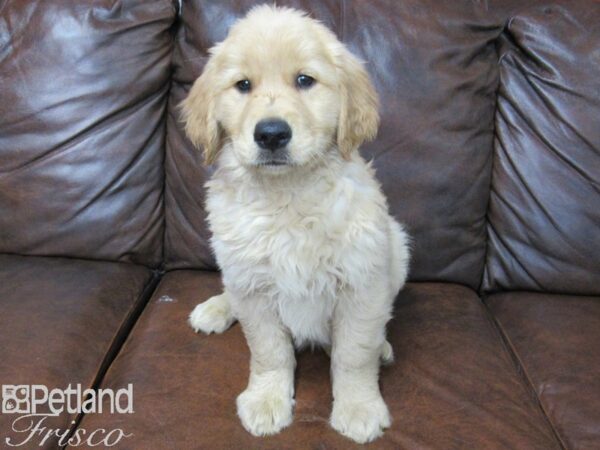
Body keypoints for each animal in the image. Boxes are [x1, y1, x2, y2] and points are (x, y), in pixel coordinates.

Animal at [185, 6, 410, 442]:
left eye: (305, 80)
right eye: (243, 85)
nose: (271, 134)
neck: (287, 196)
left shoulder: (361, 281)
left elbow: (354, 354)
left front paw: (359, 406)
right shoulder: (254, 288)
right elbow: (269, 351)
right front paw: (266, 400)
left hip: (397, 246)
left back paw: (383, 347)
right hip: (234, 267)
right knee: (231, 291)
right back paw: (217, 308)